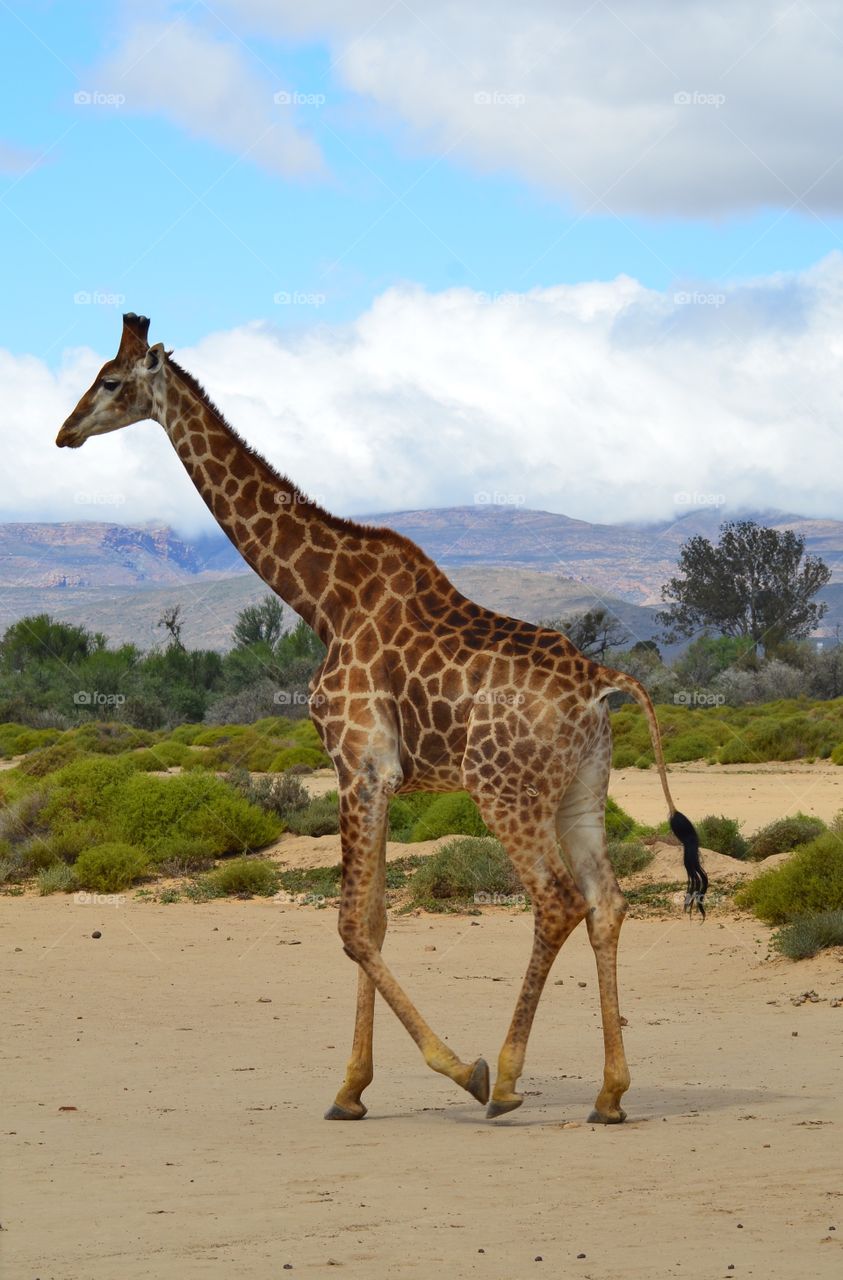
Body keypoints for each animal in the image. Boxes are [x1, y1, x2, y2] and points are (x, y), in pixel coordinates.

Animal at [55, 314, 711, 1126]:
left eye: (111, 381)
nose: (64, 433)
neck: (322, 597)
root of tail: (601, 683)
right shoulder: (382, 777)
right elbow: (374, 921)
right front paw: (350, 1091)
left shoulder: (358, 764)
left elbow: (347, 926)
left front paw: (458, 1070)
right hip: (581, 792)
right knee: (607, 904)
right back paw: (610, 1094)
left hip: (504, 791)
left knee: (555, 902)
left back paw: (508, 1079)